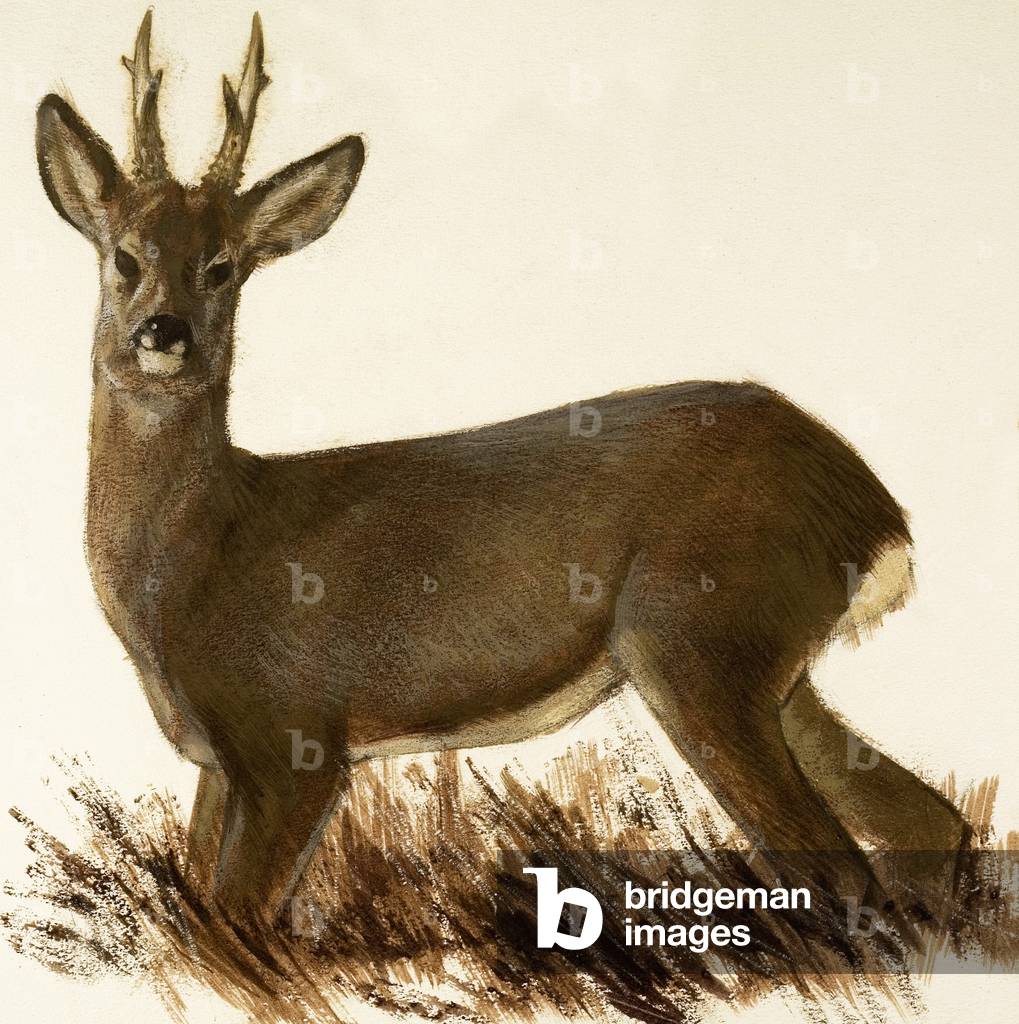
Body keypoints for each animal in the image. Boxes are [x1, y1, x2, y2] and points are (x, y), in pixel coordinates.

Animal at [36, 11, 969, 936]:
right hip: (767, 663)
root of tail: (873, 508)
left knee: (841, 869)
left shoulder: (292, 739)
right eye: (124, 256)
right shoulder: (215, 761)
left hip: (698, 635)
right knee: (925, 821)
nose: (163, 331)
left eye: (223, 266)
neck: (198, 560)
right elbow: (195, 913)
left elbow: (235, 923)